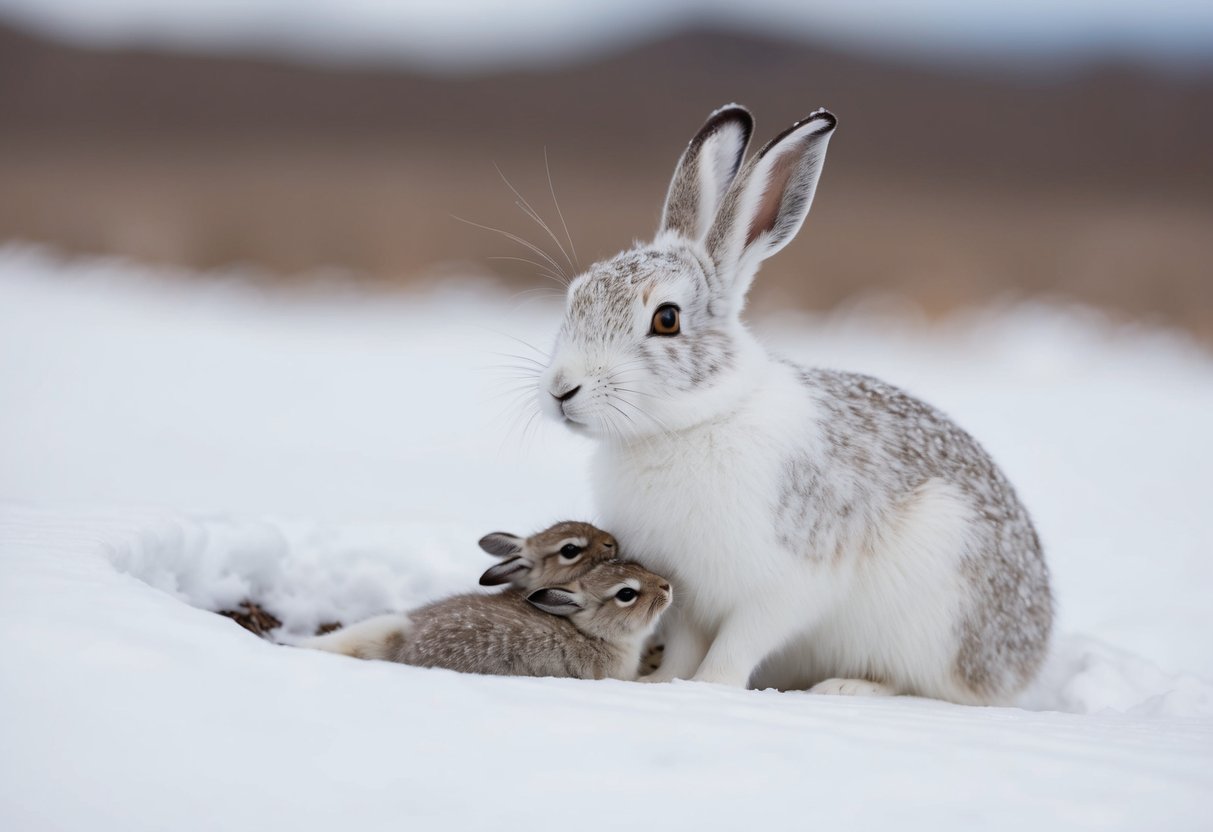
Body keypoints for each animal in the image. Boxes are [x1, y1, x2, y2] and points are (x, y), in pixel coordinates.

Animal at [534, 104, 1053, 705]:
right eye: (577, 296)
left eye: (666, 319)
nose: (561, 389)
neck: (690, 423)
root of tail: (1028, 654)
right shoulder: (685, 593)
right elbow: (687, 640)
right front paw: (666, 684)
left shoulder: (786, 584)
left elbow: (740, 642)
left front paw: (710, 689)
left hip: (933, 608)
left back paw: (846, 688)